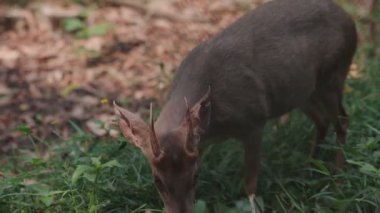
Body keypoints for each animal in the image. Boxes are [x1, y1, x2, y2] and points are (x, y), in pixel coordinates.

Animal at [113, 0, 356, 211]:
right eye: (157, 181)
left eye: (195, 177)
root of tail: (349, 19)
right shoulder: (200, 143)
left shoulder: (254, 120)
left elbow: (250, 185)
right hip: (303, 91)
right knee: (322, 120)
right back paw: (310, 170)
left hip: (333, 74)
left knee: (343, 120)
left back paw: (339, 179)